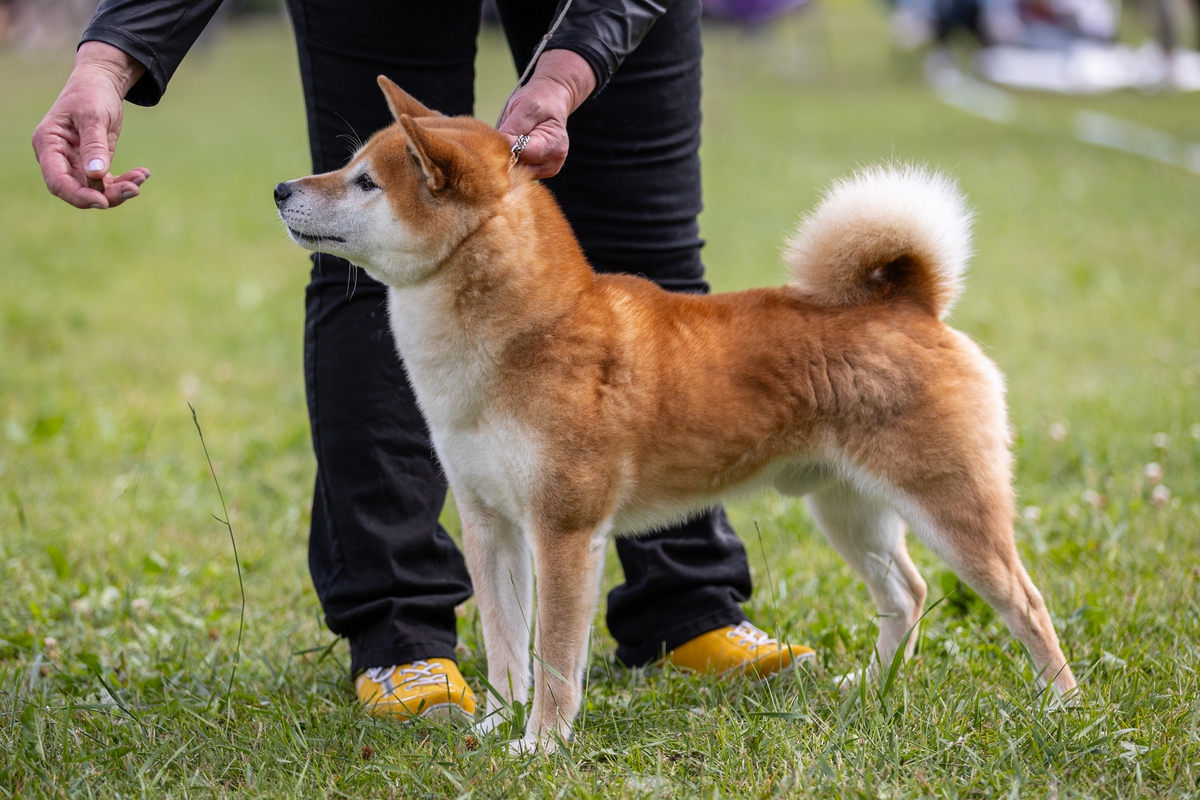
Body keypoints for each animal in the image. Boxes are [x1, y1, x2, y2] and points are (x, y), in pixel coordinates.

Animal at [274, 77, 1080, 753]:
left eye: (366, 181)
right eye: (347, 166)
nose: (281, 187)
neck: (527, 335)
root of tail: (909, 302)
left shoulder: (564, 531)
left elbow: (554, 657)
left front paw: (541, 746)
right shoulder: (490, 524)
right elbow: (506, 652)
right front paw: (498, 727)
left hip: (950, 504)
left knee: (1026, 602)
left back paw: (1062, 707)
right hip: (847, 508)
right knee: (906, 594)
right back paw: (873, 689)